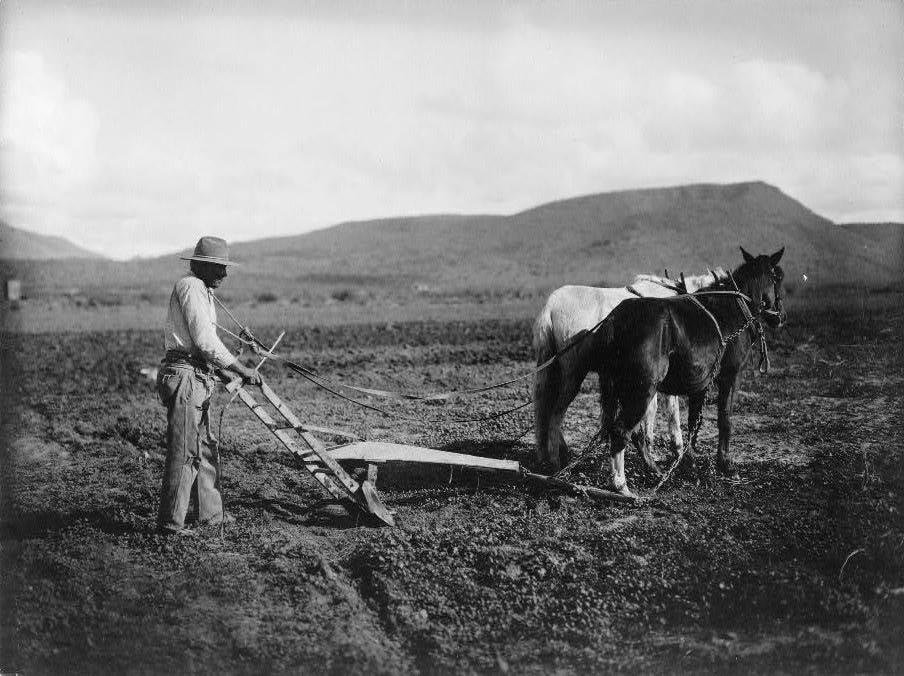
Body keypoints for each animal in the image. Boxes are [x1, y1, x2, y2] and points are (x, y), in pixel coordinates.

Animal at [532, 268, 724, 470]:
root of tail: (550, 307)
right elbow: (667, 411)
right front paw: (672, 450)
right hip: (574, 372)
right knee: (555, 411)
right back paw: (556, 459)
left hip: (549, 367)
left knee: (542, 404)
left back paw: (544, 454)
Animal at [568, 248, 788, 496]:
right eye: (778, 277)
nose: (780, 317)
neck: (733, 306)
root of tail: (616, 319)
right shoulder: (731, 377)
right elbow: (725, 419)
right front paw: (726, 464)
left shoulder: (701, 383)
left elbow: (694, 424)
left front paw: (689, 463)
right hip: (642, 391)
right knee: (621, 432)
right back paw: (621, 485)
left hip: (624, 389)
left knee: (634, 433)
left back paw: (654, 471)